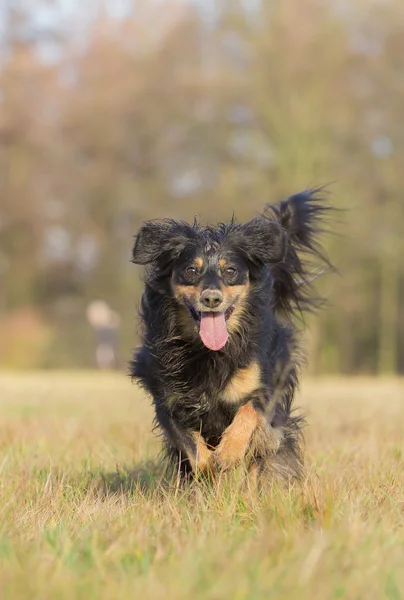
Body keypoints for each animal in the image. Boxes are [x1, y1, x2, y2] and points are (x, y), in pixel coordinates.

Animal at [129, 190, 332, 486]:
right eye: (191, 271)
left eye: (230, 271)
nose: (211, 298)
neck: (207, 352)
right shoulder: (168, 399)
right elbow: (190, 445)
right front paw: (210, 468)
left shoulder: (263, 387)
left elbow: (249, 412)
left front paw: (228, 453)